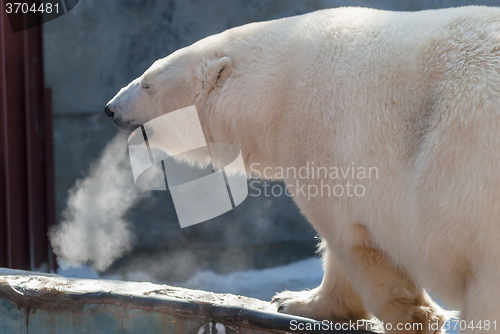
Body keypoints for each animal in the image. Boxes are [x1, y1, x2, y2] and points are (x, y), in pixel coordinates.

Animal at [105, 6, 500, 332]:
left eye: (147, 83)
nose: (110, 109)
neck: (277, 87)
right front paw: (294, 300)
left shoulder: (326, 135)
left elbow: (354, 240)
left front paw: (416, 319)